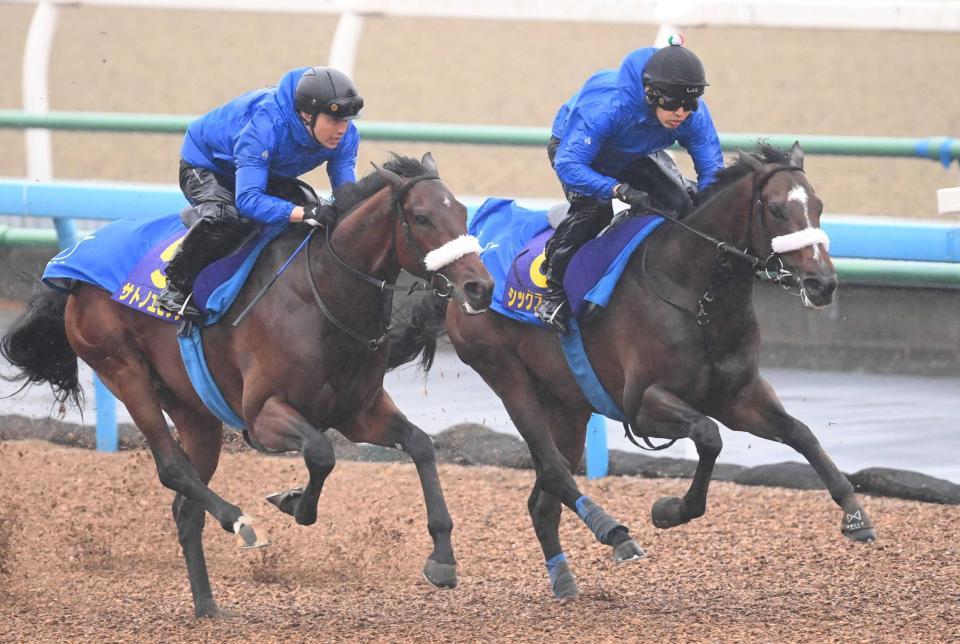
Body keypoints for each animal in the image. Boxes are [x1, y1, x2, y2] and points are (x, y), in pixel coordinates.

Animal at [386, 142, 872, 600]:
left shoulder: (738, 395)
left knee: (544, 497)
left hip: (568, 404)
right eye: (775, 209)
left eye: (818, 205)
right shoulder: (642, 405)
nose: (823, 283)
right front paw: (669, 510)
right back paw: (613, 535)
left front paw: (854, 513)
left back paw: (565, 580)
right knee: (554, 468)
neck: (694, 293)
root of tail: (462, 281)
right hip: (507, 377)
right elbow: (709, 436)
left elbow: (800, 432)